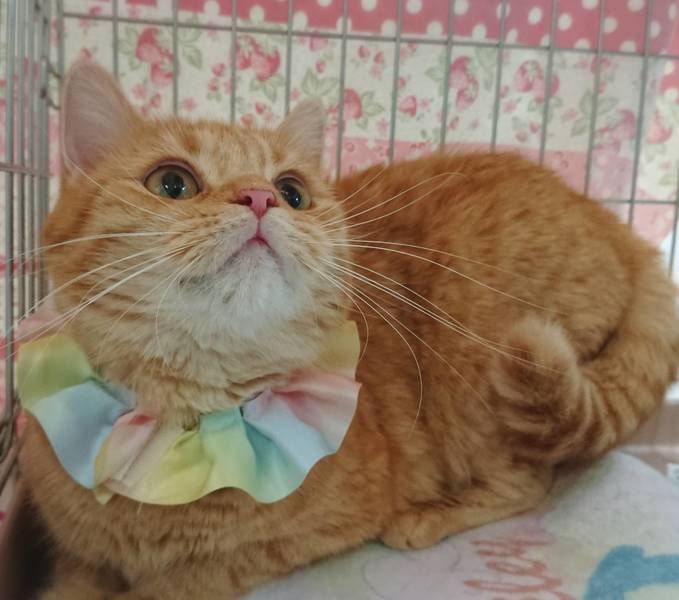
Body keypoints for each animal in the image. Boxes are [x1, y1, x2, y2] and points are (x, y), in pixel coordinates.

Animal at [18, 59, 679, 599]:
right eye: (171, 183)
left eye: (292, 192)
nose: (260, 198)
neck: (188, 426)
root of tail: (615, 223)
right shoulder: (72, 552)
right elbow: (73, 581)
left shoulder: (308, 534)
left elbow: (194, 576)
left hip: (477, 357)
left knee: (530, 480)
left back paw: (429, 516)